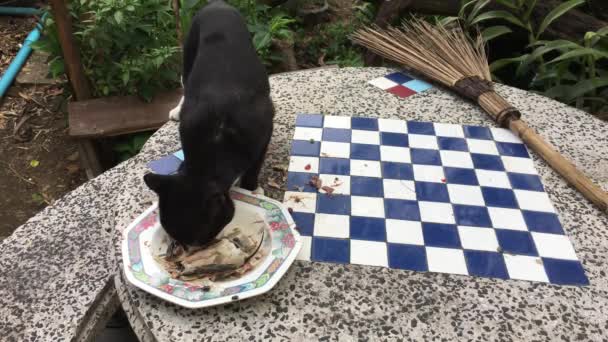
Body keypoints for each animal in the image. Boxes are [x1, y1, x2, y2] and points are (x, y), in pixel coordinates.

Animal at [142, 0, 274, 248]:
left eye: (202, 236)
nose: (192, 248)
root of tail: (216, 4)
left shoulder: (264, 132)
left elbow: (255, 165)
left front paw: (252, 188)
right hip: (190, 49)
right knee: (184, 81)